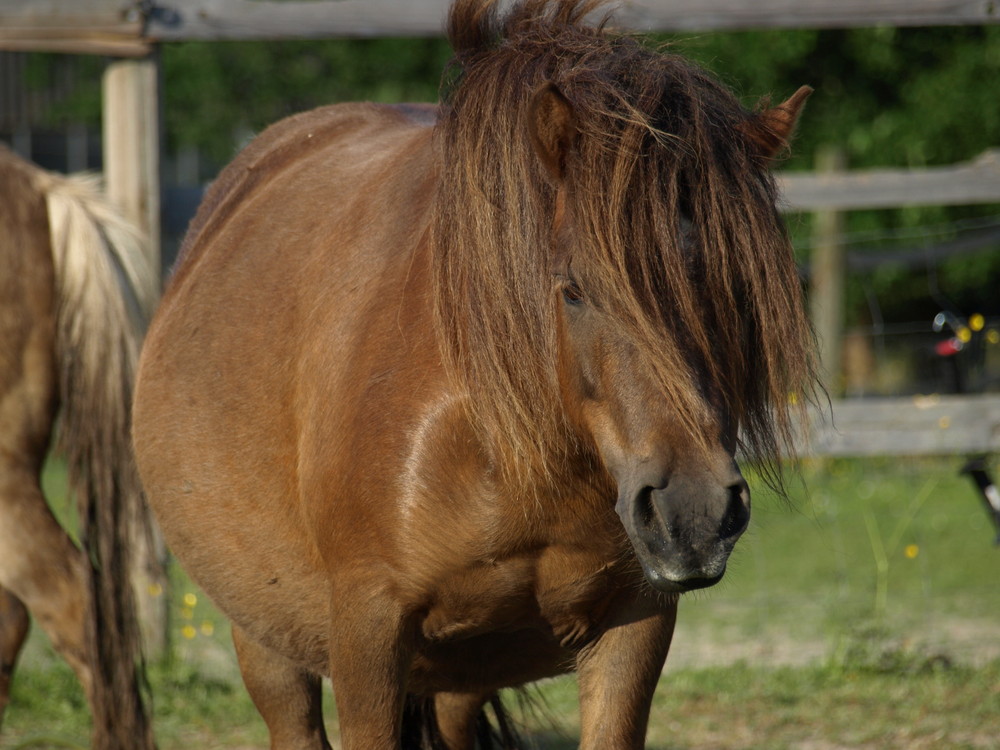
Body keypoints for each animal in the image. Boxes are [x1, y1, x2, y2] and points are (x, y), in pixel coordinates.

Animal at [133, 2, 816, 748]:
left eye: (737, 287)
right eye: (574, 289)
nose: (693, 513)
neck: (504, 440)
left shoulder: (636, 622)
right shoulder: (367, 631)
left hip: (462, 676)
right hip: (269, 646)